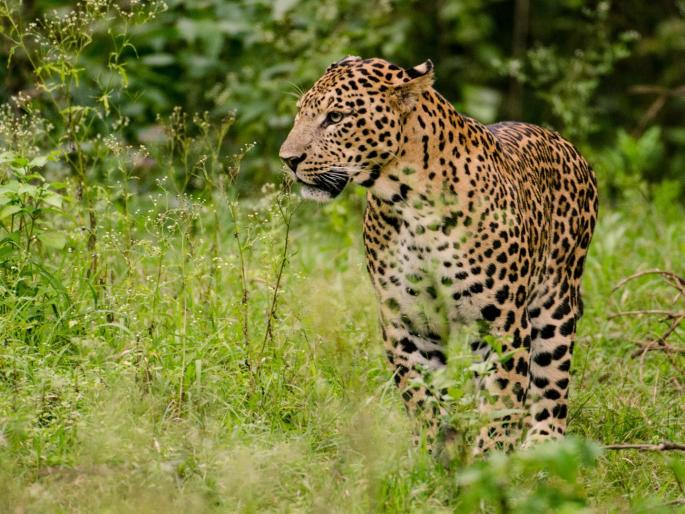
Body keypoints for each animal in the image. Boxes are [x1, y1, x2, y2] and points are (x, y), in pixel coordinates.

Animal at [279, 56, 598, 453]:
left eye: (335, 117)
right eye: (300, 113)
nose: (288, 159)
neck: (408, 203)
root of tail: (566, 144)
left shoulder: (503, 323)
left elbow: (501, 400)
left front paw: (487, 460)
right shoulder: (408, 320)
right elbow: (421, 395)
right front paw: (431, 454)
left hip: (554, 303)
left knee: (551, 383)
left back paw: (543, 445)